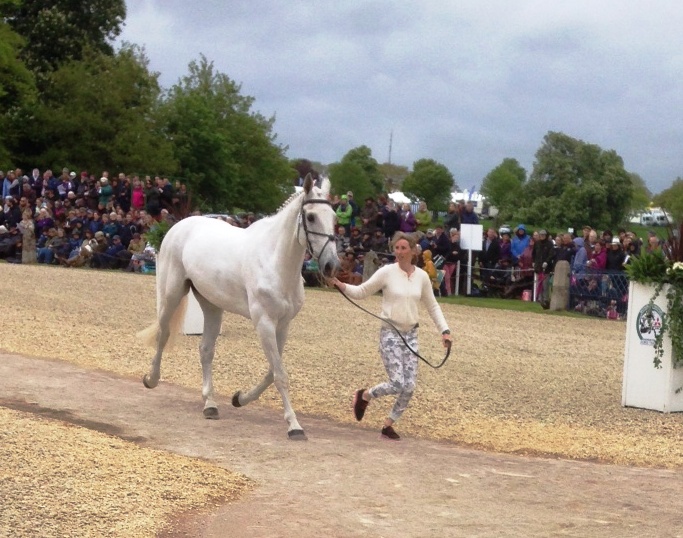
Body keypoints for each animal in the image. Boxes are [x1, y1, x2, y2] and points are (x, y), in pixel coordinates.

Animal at [140, 174, 340, 438]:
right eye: (311, 217)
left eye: (334, 218)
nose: (331, 265)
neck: (275, 261)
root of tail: (180, 225)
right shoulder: (264, 322)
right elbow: (280, 374)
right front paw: (294, 426)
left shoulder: (282, 325)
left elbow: (272, 372)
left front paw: (240, 398)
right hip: (171, 294)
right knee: (163, 334)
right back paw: (151, 379)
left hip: (212, 305)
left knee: (206, 350)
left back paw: (210, 405)